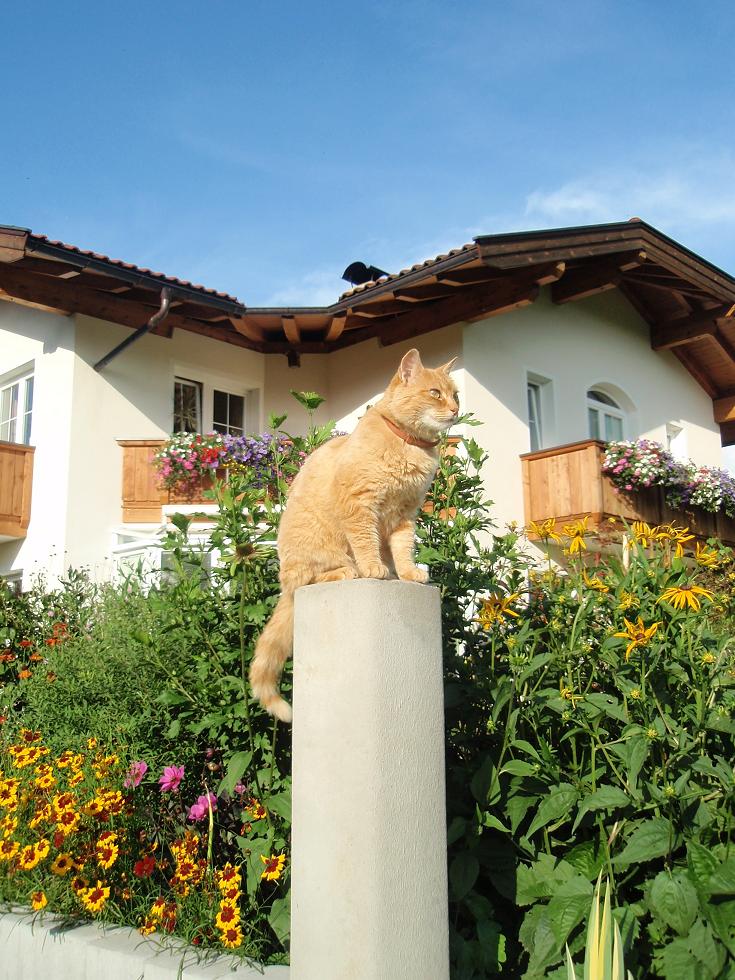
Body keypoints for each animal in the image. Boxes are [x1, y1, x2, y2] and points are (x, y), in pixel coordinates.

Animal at [249, 348, 459, 722]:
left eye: (456, 394)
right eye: (435, 393)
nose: (455, 410)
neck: (407, 445)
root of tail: (285, 588)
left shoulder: (405, 516)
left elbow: (403, 550)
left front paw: (407, 574)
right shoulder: (360, 507)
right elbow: (366, 543)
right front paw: (375, 568)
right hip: (314, 558)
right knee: (314, 577)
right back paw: (352, 571)